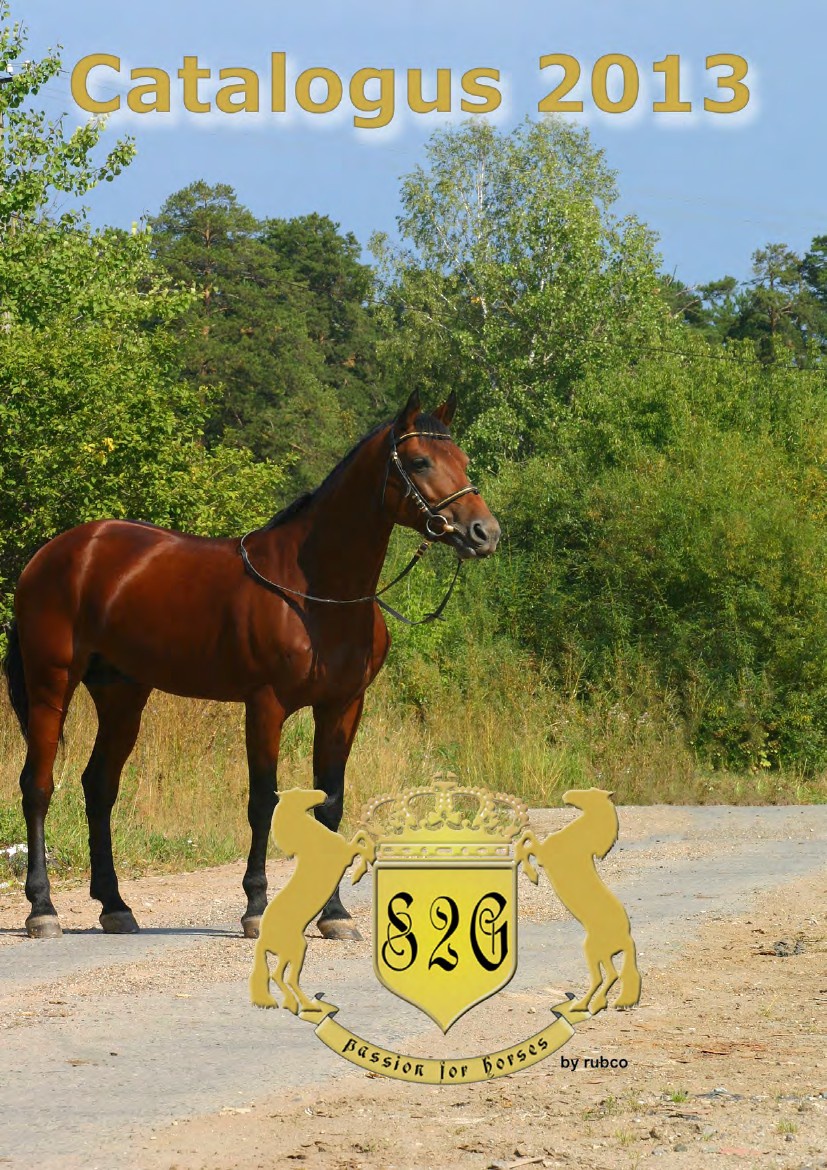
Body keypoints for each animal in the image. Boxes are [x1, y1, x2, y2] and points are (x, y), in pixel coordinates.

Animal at [3, 389, 500, 941]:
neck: (316, 593)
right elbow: (263, 801)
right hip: (51, 684)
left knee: (99, 787)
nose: (484, 533)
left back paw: (115, 906)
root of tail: (51, 555)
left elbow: (331, 803)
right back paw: (42, 908)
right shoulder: (266, 704)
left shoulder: (343, 707)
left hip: (122, 695)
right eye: (418, 461)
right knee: (38, 785)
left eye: (463, 460)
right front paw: (257, 907)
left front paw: (335, 915)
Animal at [249, 787, 374, 1015]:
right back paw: (307, 1005)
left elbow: (360, 836)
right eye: (301, 793)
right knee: (284, 977)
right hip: (296, 949)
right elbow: (361, 841)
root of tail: (263, 940)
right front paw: (361, 869)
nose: (323, 795)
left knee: (278, 976)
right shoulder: (345, 854)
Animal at [515, 788, 641, 1014]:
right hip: (602, 954)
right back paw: (591, 1004)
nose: (566, 796)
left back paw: (583, 1005)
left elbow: (527, 842)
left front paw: (532, 875)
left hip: (592, 949)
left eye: (589, 793)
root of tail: (627, 938)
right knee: (611, 975)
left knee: (604, 976)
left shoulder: (544, 855)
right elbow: (527, 839)